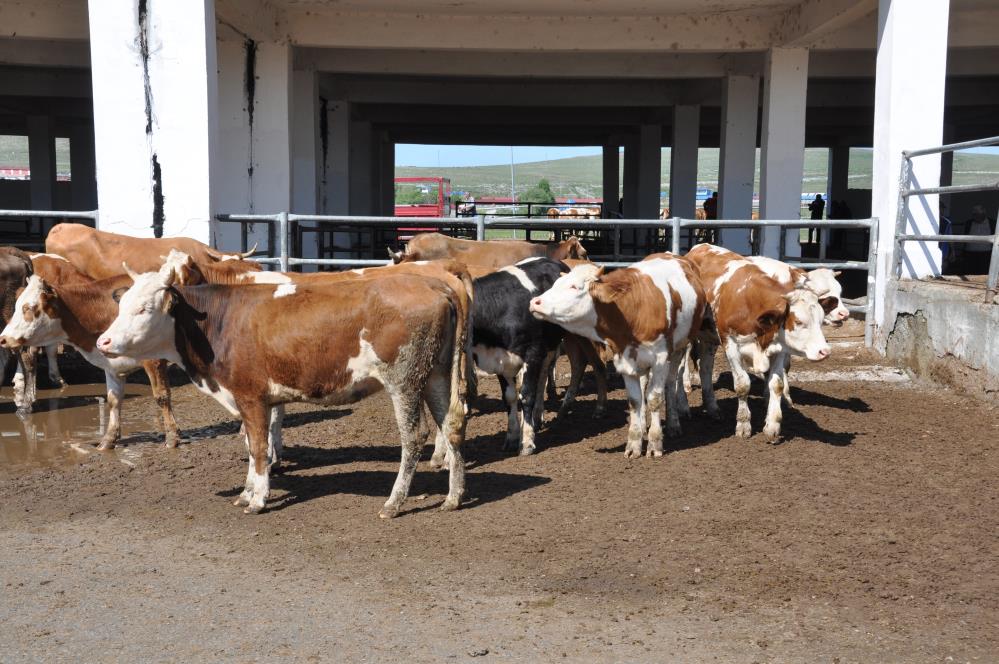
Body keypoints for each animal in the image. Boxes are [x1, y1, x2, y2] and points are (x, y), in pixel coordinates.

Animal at [94, 256, 468, 516]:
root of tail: (437, 285)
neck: (217, 321)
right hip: (436, 375)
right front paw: (246, 491)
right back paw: (454, 496)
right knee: (451, 426)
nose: (103, 341)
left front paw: (258, 499)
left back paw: (394, 502)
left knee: (414, 437)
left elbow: (260, 448)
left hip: (404, 381)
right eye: (121, 305)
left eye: (144, 309)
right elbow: (251, 445)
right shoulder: (251, 401)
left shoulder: (251, 397)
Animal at [684, 243, 832, 440]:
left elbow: (777, 384)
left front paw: (772, 425)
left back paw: (713, 408)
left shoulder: (779, 348)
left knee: (705, 369)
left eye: (821, 320)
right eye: (799, 322)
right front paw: (743, 424)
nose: (825, 351)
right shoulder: (730, 343)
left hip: (709, 339)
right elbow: (742, 385)